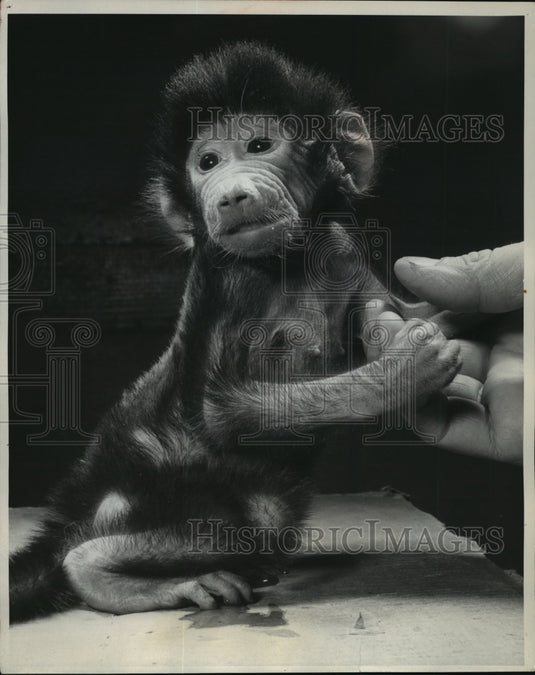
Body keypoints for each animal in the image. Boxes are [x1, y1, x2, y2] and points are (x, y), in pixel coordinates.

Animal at [9, 42, 462, 623]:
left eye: (259, 146)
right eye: (207, 163)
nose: (229, 194)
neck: (287, 262)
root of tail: (81, 501)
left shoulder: (343, 251)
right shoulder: (228, 277)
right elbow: (215, 409)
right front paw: (403, 373)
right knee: (246, 518)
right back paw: (103, 572)